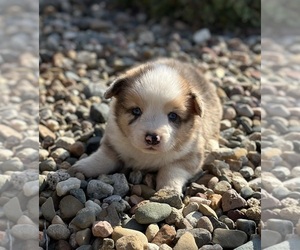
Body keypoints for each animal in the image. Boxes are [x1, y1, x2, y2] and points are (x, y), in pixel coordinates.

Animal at [69, 57, 221, 192]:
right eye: (136, 111)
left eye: (173, 116)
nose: (152, 138)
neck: (146, 155)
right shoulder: (112, 140)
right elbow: (104, 157)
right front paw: (82, 166)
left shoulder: (191, 155)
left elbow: (171, 170)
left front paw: (169, 189)